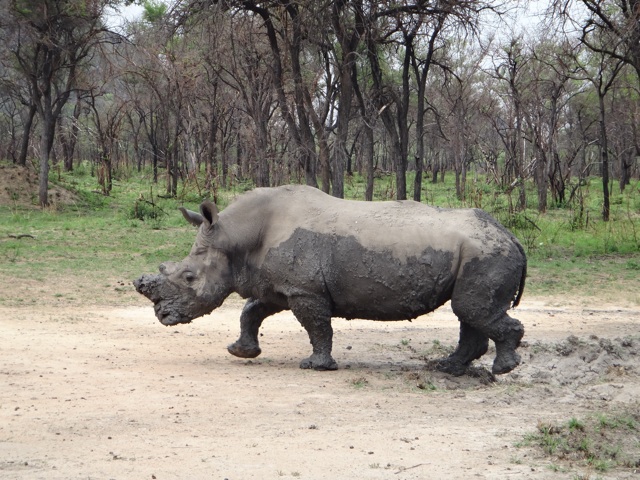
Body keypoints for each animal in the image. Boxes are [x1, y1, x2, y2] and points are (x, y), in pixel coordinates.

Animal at [134, 185, 526, 376]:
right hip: (478, 252)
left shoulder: (305, 291)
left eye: (189, 277)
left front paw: (315, 366)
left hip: (485, 253)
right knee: (468, 311)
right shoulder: (277, 286)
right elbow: (251, 311)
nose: (162, 316)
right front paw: (241, 352)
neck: (235, 237)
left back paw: (503, 369)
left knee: (471, 308)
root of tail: (511, 236)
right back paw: (450, 368)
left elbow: (317, 326)